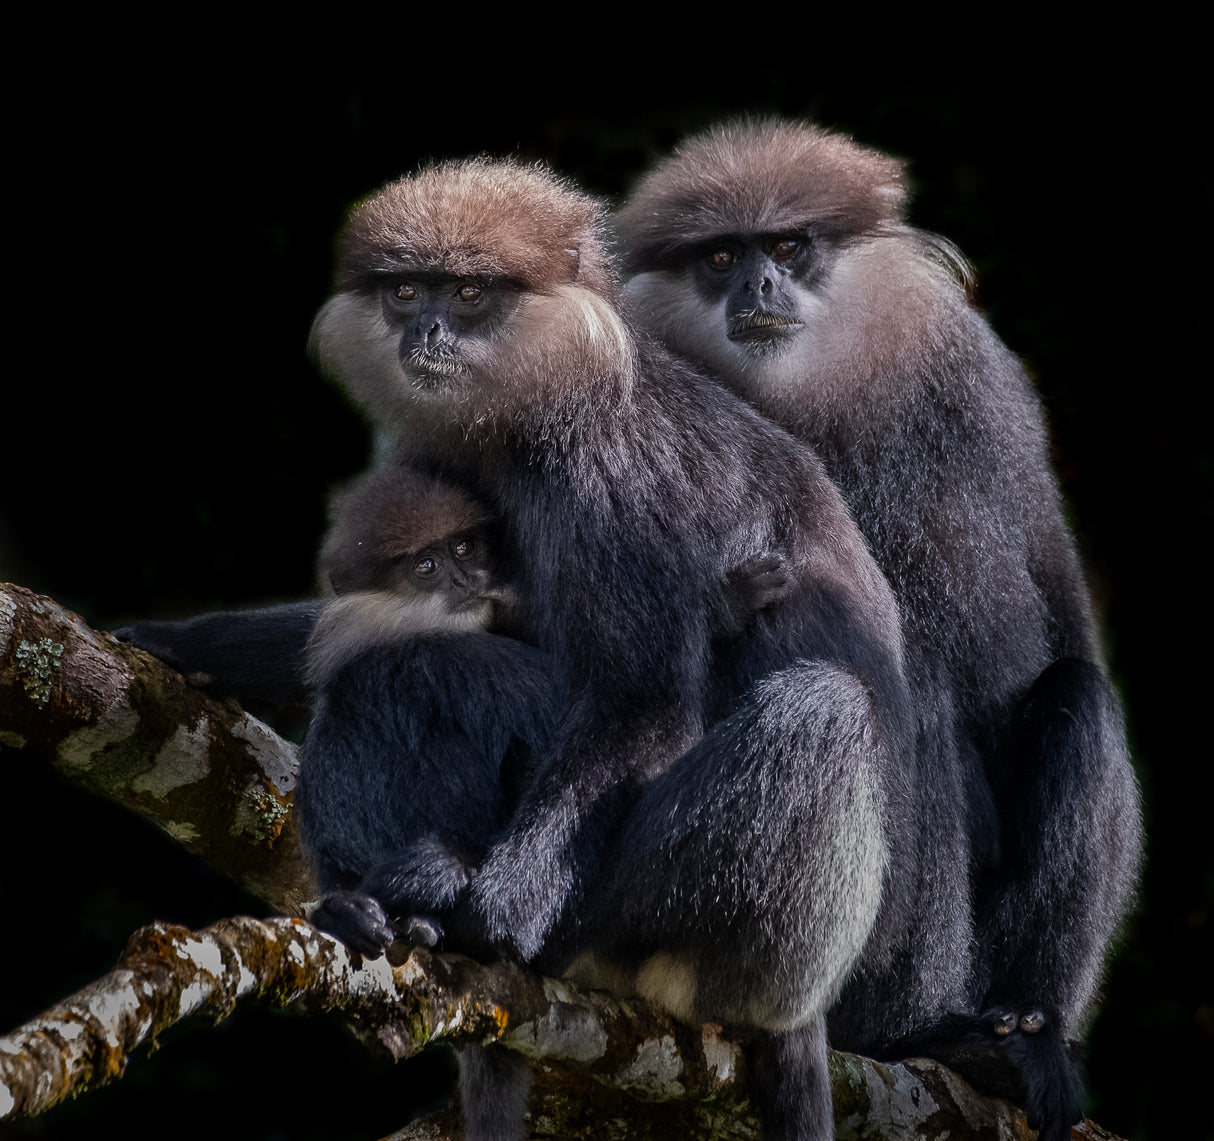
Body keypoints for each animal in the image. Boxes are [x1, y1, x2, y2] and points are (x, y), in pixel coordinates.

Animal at [615, 117, 1143, 1141]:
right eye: (721, 256)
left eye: (787, 247)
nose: (756, 287)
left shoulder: (976, 383)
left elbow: (1062, 631)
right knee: (916, 699)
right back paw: (918, 1031)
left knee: (1077, 695)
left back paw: (1024, 1037)